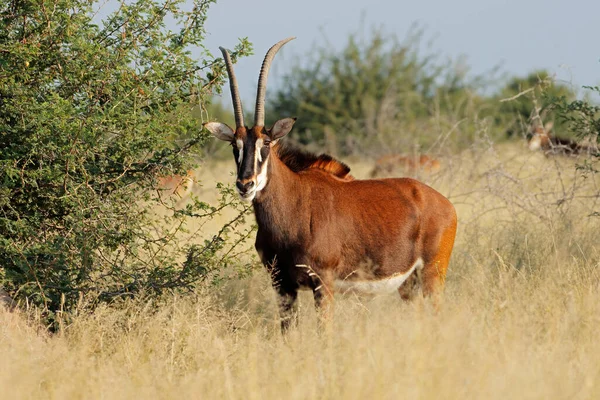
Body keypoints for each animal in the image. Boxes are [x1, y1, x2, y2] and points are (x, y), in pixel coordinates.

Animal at [204, 38, 458, 332]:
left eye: (266, 143)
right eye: (235, 145)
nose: (245, 184)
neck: (293, 206)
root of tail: (445, 205)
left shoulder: (323, 283)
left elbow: (324, 333)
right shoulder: (282, 285)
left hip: (432, 274)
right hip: (408, 284)